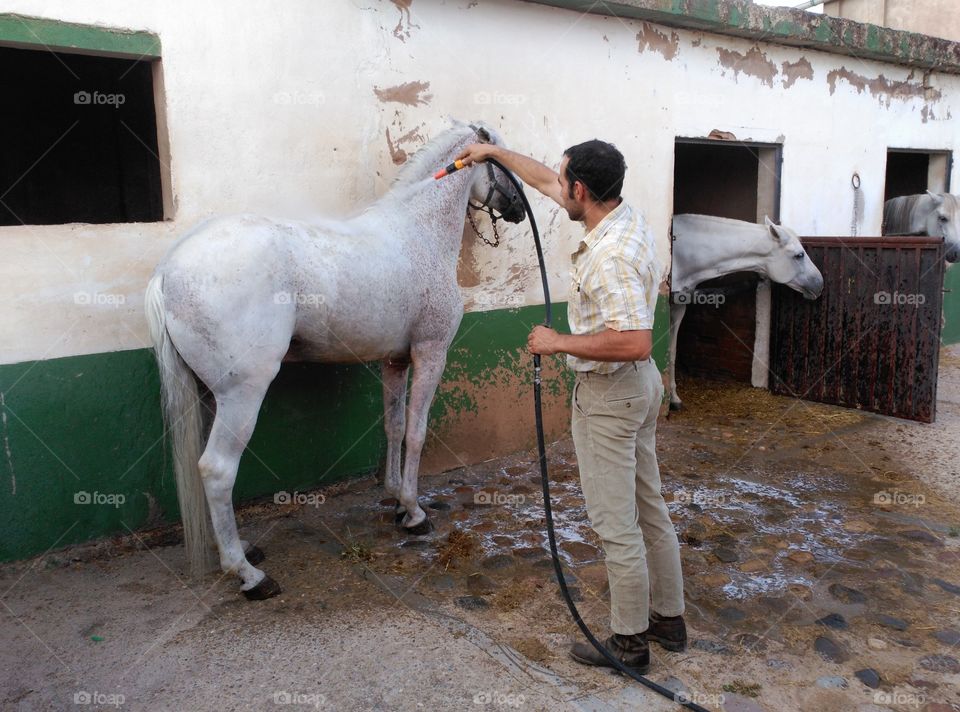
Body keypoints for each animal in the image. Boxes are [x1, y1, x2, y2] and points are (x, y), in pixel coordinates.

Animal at [141, 121, 524, 600]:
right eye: (504, 160)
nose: (519, 210)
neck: (419, 232)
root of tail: (167, 270)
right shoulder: (430, 351)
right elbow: (417, 432)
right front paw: (415, 513)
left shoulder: (395, 361)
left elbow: (393, 427)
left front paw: (396, 501)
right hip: (243, 393)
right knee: (217, 469)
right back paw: (248, 575)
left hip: (209, 395)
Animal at [668, 214, 824, 408]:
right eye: (799, 255)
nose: (820, 283)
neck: (679, 253)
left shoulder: (678, 306)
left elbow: (671, 350)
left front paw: (673, 398)